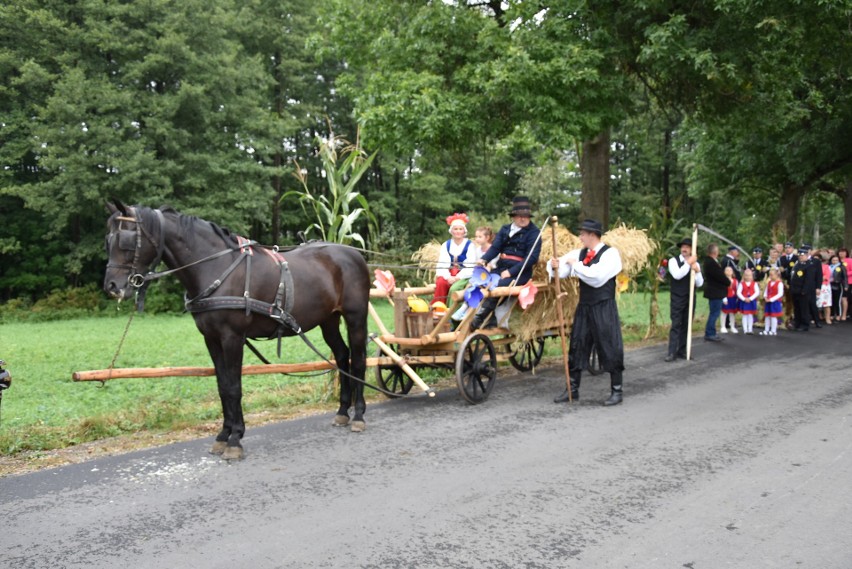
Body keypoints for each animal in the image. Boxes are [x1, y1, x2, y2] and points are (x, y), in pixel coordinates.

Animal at [105, 202, 372, 460]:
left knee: (358, 359)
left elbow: (234, 388)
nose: (112, 286)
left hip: (355, 317)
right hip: (328, 320)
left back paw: (359, 415)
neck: (217, 268)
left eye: (126, 240)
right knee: (342, 356)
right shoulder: (211, 339)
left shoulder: (232, 337)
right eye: (108, 240)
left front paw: (235, 440)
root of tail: (353, 254)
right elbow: (223, 386)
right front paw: (223, 435)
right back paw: (342, 412)